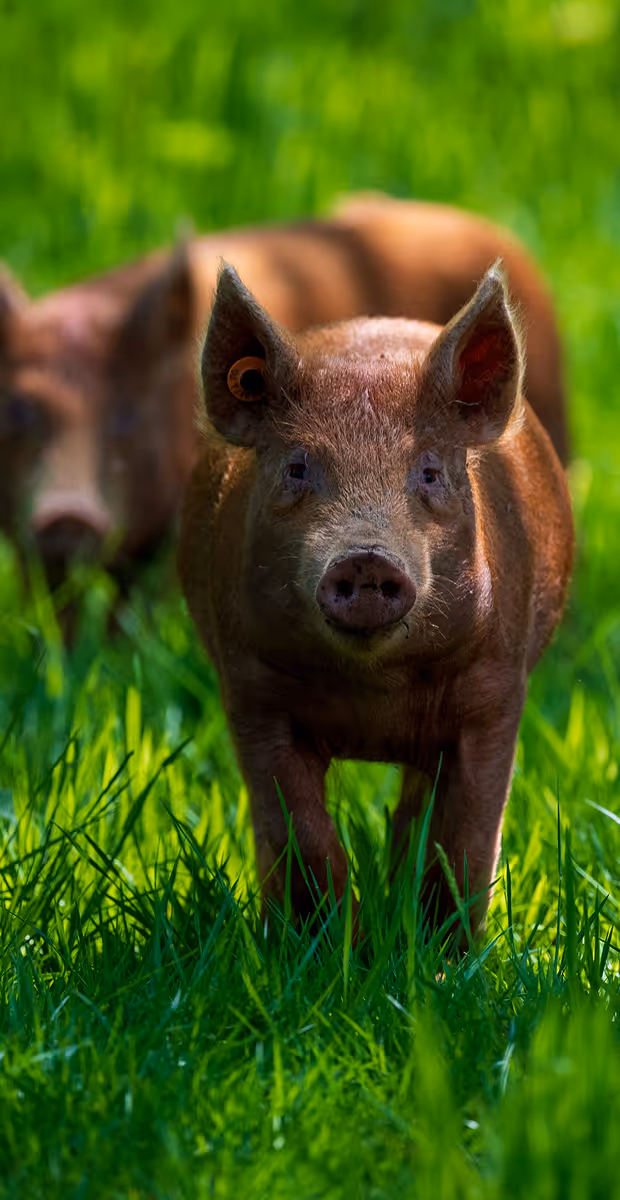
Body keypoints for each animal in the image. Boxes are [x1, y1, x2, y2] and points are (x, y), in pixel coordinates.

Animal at [178, 264, 573, 932]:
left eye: (430, 472)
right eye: (298, 468)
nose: (366, 557)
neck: (374, 695)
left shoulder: (498, 688)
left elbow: (466, 837)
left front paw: (443, 952)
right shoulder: (250, 686)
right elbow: (300, 830)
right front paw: (336, 944)